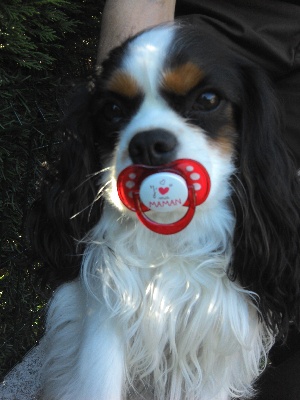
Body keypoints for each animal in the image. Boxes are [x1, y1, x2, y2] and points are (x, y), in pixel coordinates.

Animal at [30, 22, 300, 400]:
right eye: (113, 109)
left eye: (208, 100)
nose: (147, 144)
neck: (172, 236)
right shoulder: (107, 314)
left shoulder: (217, 333)